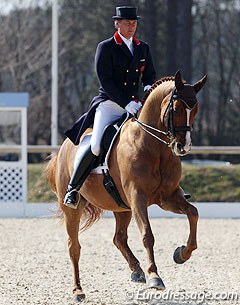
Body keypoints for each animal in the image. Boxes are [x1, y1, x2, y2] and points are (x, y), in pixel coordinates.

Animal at [46, 70, 206, 300]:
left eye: (196, 110)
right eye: (175, 109)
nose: (183, 146)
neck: (154, 147)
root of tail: (64, 147)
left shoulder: (168, 197)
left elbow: (193, 213)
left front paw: (181, 253)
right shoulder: (138, 196)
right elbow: (147, 235)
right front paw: (155, 276)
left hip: (122, 207)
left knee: (118, 238)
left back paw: (136, 271)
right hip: (73, 209)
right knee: (74, 247)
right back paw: (78, 290)